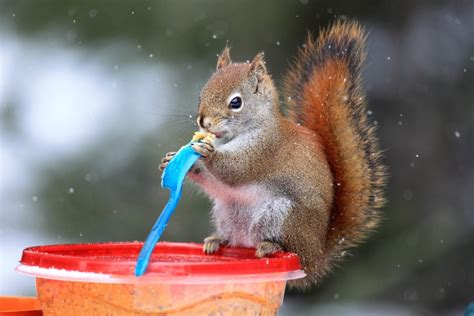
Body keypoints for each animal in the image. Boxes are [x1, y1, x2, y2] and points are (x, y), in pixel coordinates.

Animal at [161, 20, 386, 288]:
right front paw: (172, 160)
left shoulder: (264, 150)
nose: (203, 122)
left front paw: (208, 153)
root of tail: (316, 255)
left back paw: (270, 246)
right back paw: (218, 241)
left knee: (287, 247)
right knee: (239, 240)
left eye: (236, 102)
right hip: (228, 213)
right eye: (202, 93)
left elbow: (236, 169)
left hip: (283, 215)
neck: (232, 136)